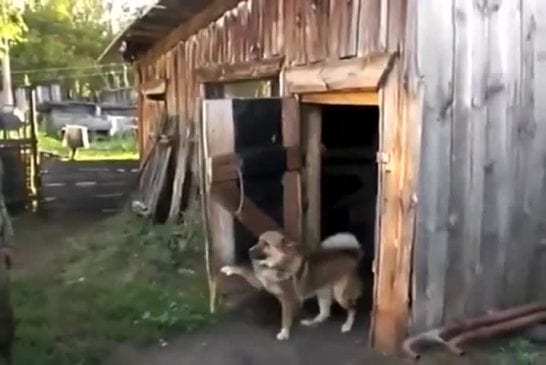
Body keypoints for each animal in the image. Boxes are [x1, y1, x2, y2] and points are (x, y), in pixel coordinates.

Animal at [221, 230, 362, 338]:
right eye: (258, 241)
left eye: (266, 244)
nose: (249, 251)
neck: (275, 265)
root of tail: (353, 257)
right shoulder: (259, 282)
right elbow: (243, 270)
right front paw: (228, 269)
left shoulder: (287, 299)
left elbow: (285, 318)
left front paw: (284, 333)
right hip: (323, 292)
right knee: (325, 313)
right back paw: (311, 322)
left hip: (340, 295)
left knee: (352, 309)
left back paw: (347, 326)